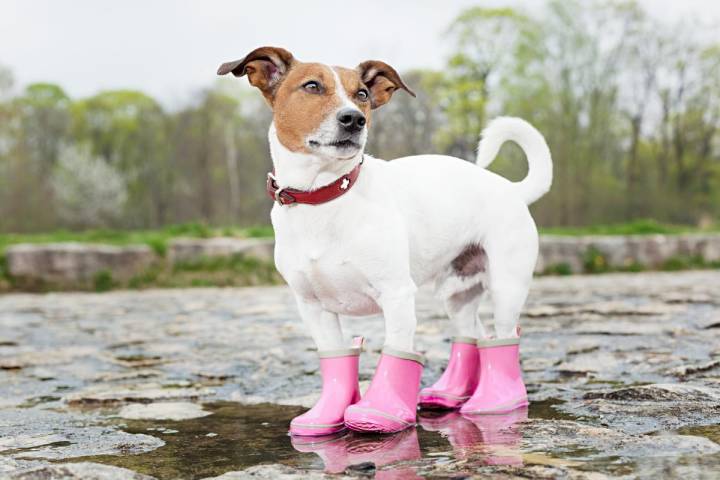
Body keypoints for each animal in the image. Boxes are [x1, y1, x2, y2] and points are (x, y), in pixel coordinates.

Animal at [219, 47, 552, 436]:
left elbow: (397, 352)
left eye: (362, 94)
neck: (326, 196)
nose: (353, 119)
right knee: (471, 335)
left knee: (503, 338)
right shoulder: (313, 307)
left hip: (507, 286)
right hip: (456, 292)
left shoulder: (396, 295)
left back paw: (499, 402)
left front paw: (380, 412)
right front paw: (326, 417)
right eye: (312, 86)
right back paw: (451, 394)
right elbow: (335, 358)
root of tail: (511, 189)